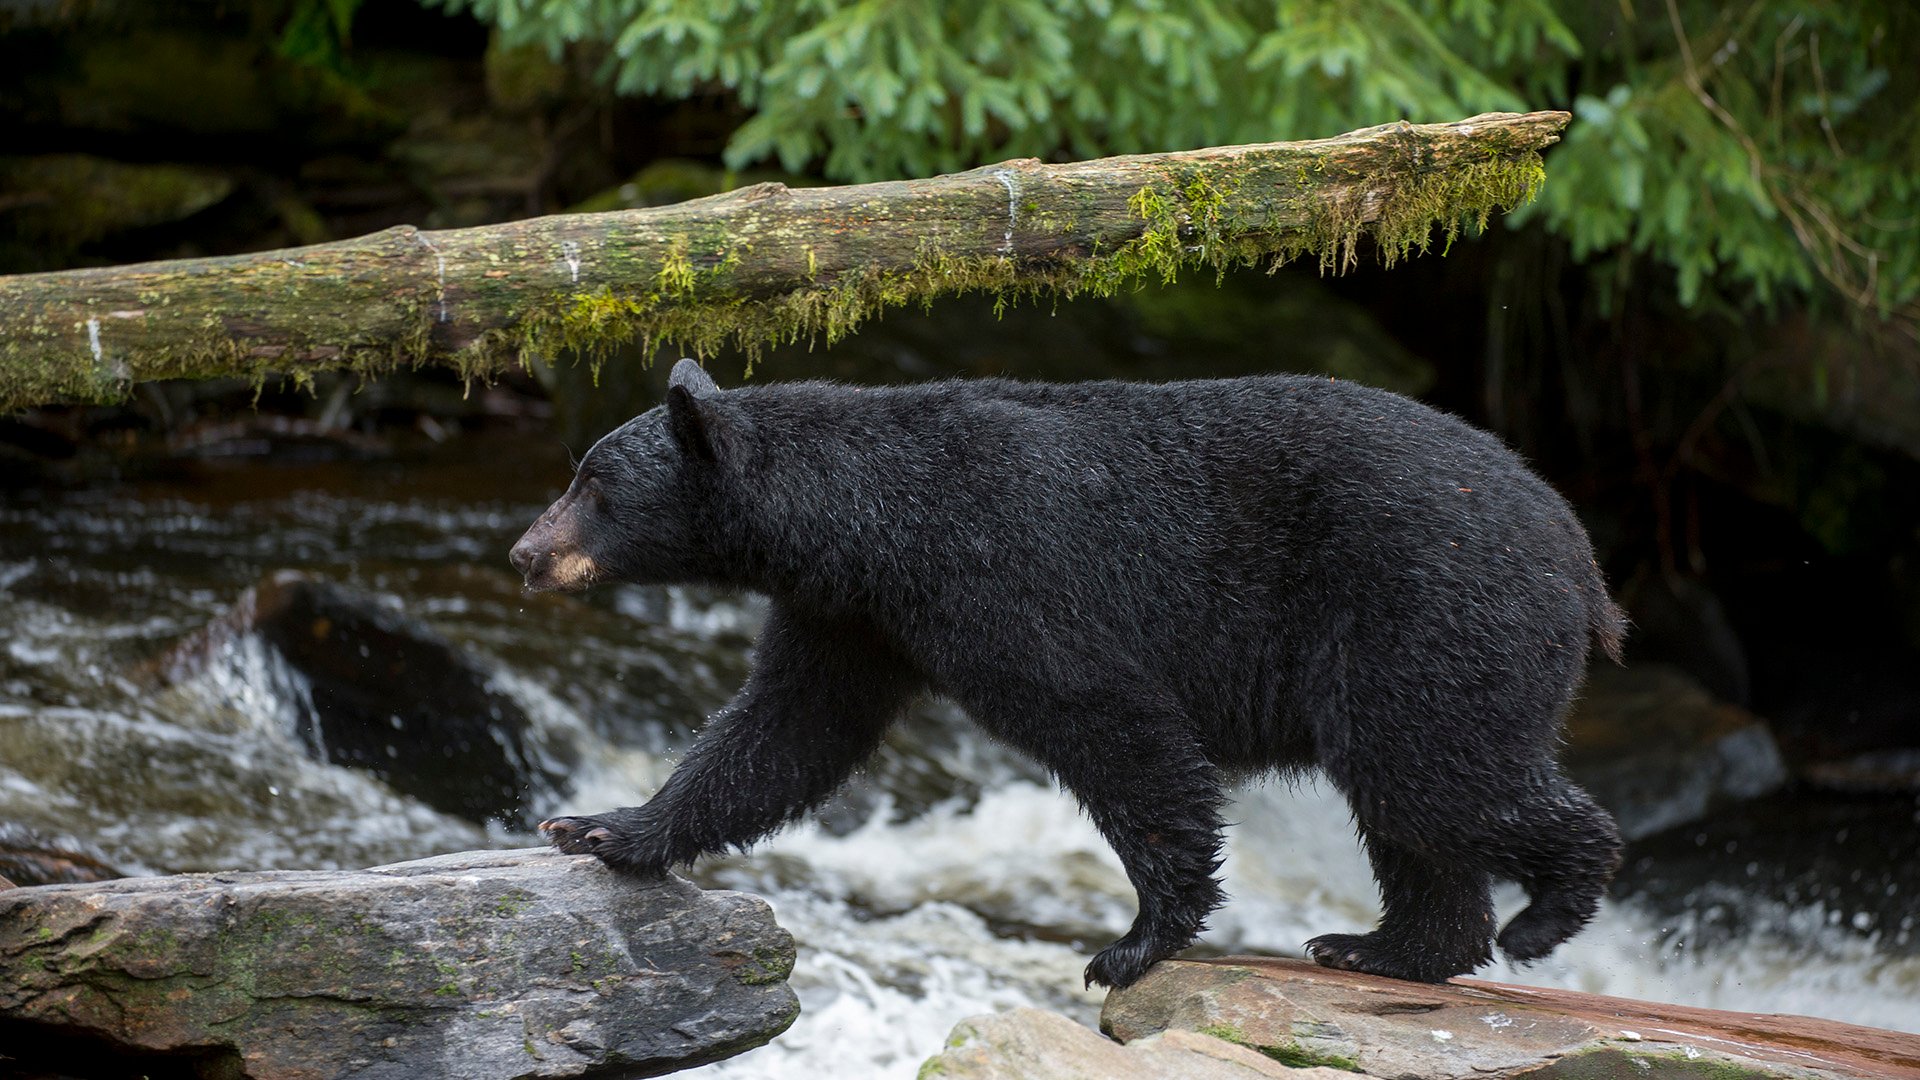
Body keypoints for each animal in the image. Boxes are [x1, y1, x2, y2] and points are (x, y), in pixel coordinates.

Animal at [511, 359, 1627, 990]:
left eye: (592, 486)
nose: (525, 552)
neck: (865, 521)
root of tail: (1581, 556)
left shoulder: (1003, 576)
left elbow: (1115, 726)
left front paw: (1132, 946)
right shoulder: (853, 618)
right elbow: (785, 732)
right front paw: (602, 828)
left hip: (1426, 611)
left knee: (1434, 776)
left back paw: (1547, 912)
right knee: (1412, 806)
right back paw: (1384, 948)